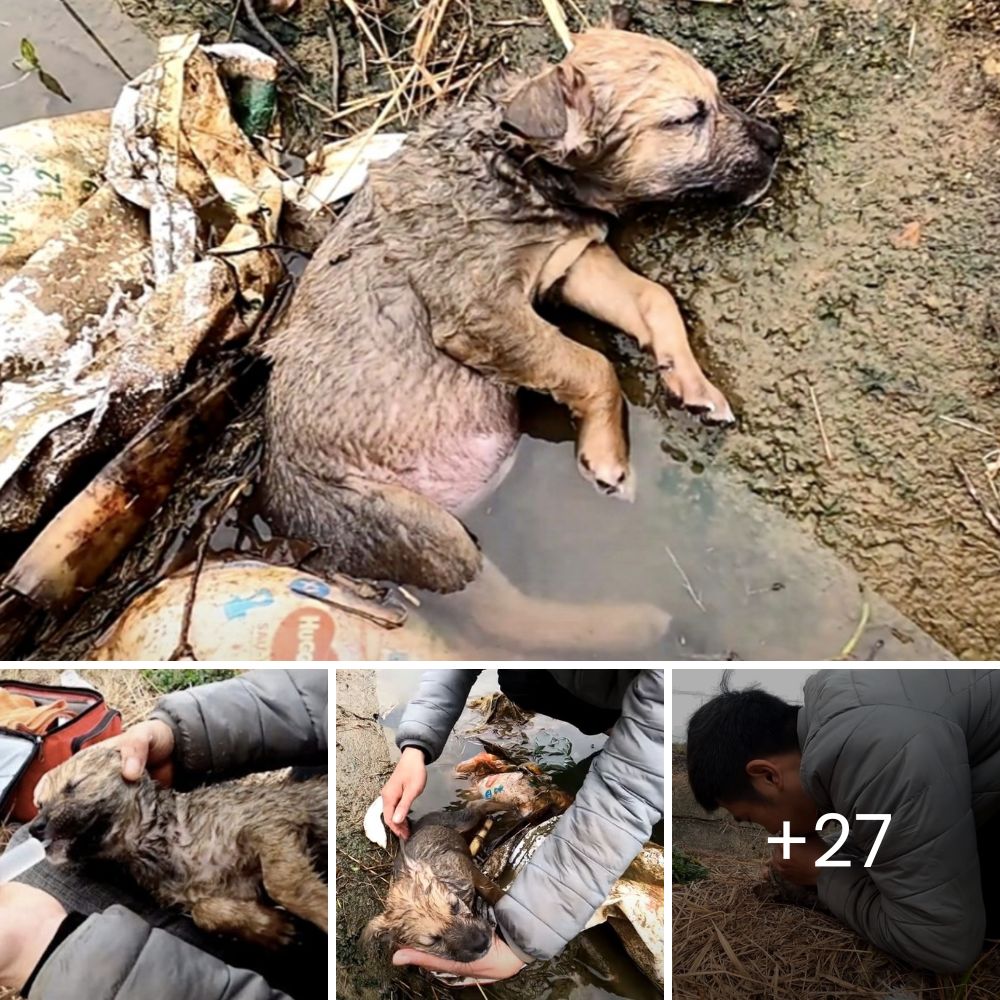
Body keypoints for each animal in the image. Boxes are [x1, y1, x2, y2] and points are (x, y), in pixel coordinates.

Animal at [31, 748, 326, 948]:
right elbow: (204, 912)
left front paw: (321, 910)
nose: (35, 827)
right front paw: (271, 928)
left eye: (74, 786)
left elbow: (284, 886)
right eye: (40, 804)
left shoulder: (270, 821)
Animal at [266, 25, 780, 648]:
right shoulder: (483, 310)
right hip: (411, 524)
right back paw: (630, 624)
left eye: (716, 95)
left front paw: (693, 383)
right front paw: (607, 455)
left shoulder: (571, 260)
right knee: (496, 608)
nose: (778, 141)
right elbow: (591, 365)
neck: (520, 168)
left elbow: (655, 298)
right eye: (685, 118)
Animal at [362, 796, 508, 960]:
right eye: (433, 941)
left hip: (459, 820)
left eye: (455, 906)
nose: (482, 943)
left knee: (476, 806)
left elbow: (489, 888)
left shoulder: (463, 864)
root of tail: (417, 827)